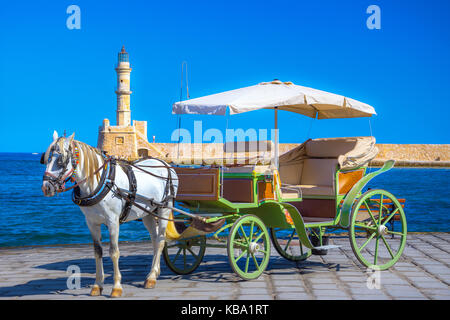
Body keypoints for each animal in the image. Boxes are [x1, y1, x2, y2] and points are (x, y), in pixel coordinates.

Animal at [40, 131, 178, 298]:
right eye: (47, 158)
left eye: (61, 160)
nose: (46, 187)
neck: (101, 181)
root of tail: (166, 164)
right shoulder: (91, 223)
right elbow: (97, 252)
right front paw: (97, 285)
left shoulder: (113, 221)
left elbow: (114, 252)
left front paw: (116, 287)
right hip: (148, 213)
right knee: (155, 239)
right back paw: (153, 273)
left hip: (165, 207)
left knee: (161, 240)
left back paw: (151, 277)